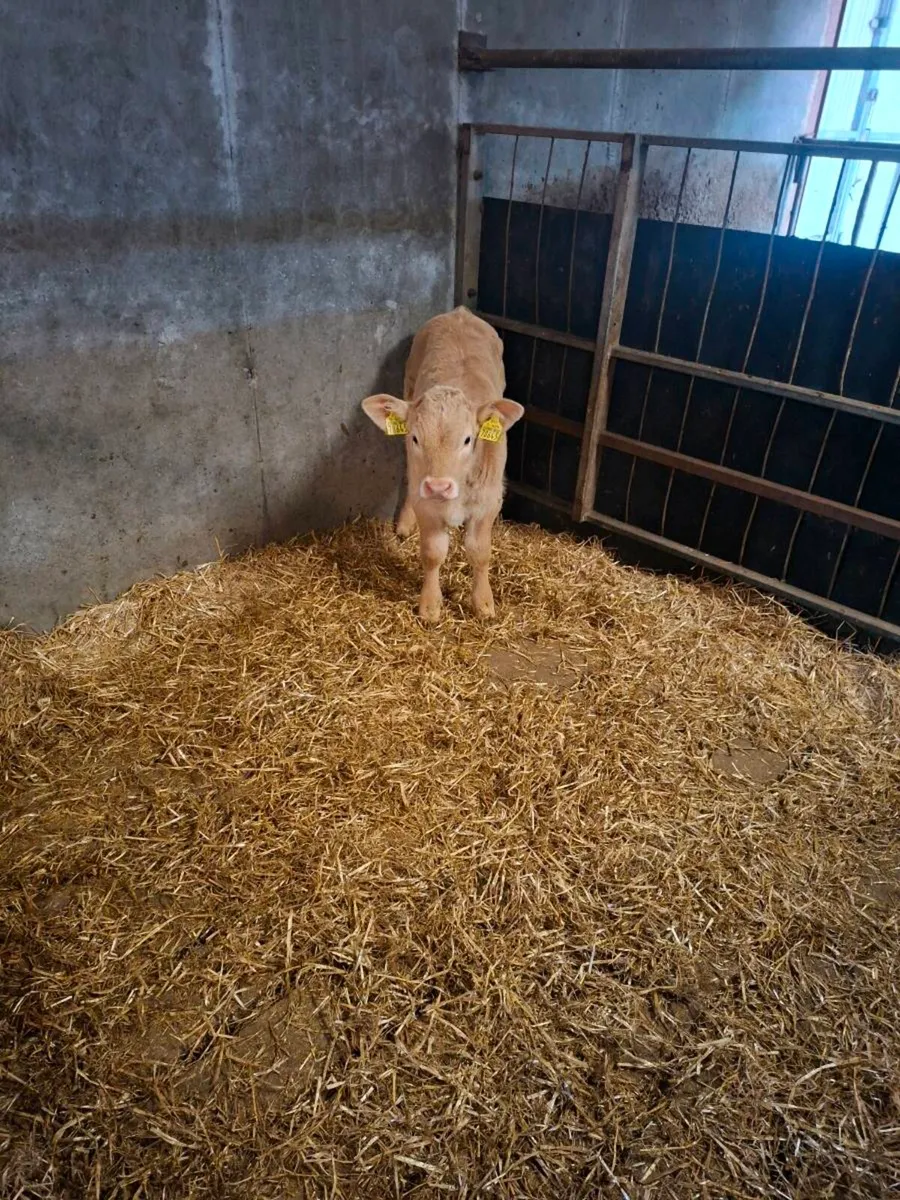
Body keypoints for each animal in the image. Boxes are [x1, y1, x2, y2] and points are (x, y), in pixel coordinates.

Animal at [361, 307, 524, 623]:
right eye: (415, 437)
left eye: (468, 439)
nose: (438, 486)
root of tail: (460, 312)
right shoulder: (427, 503)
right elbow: (433, 552)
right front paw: (430, 606)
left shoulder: (488, 500)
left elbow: (479, 551)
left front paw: (483, 604)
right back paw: (405, 523)